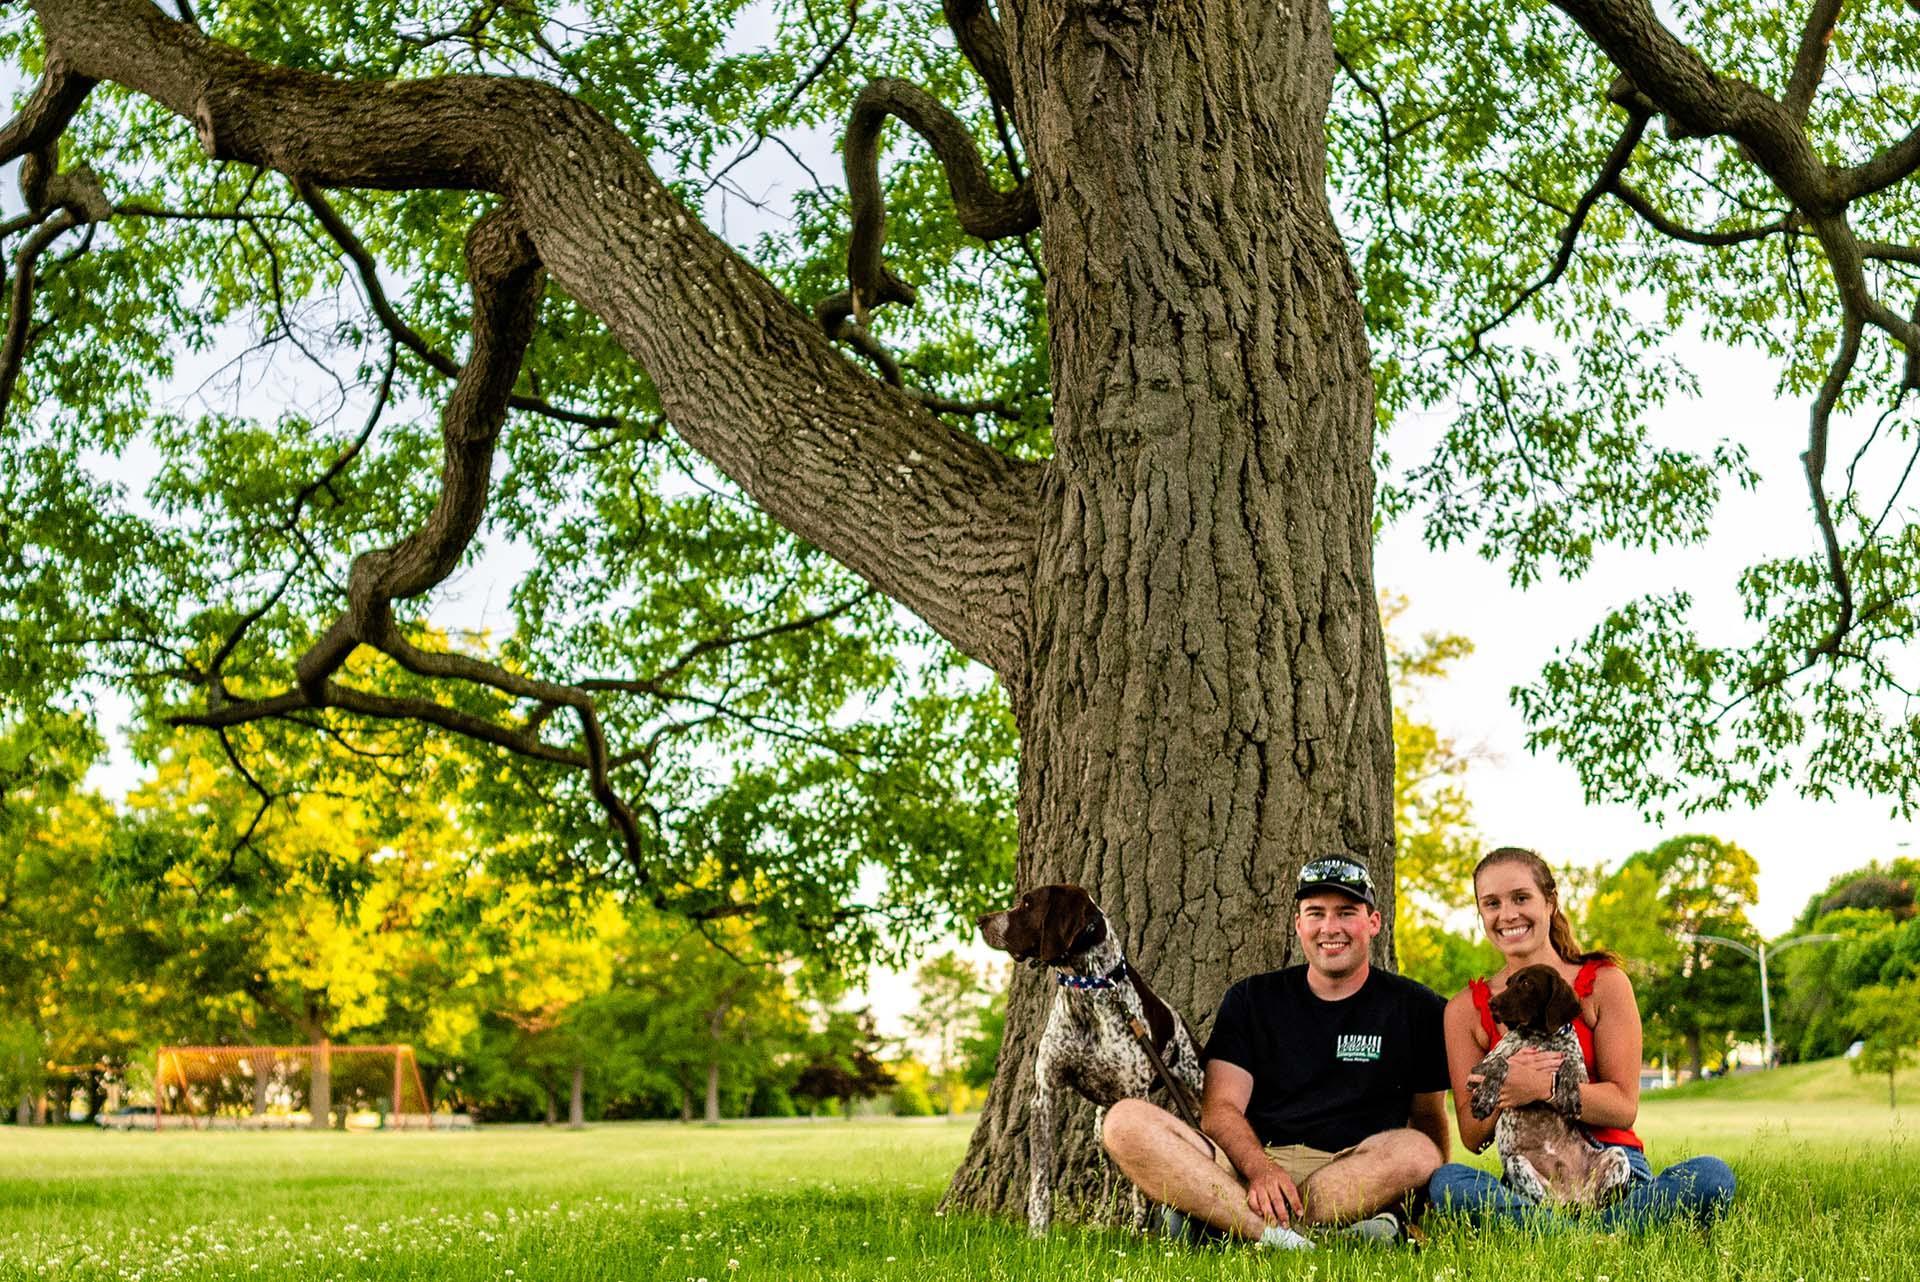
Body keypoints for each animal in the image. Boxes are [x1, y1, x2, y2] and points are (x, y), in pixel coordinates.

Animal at [975, 886, 1198, 1235]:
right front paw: (1038, 1233)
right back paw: (1100, 1223)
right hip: (1101, 1128)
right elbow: (1040, 1179)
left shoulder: (1136, 1096)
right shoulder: (1045, 1095)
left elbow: (1139, 1188)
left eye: (1027, 903)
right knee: (1109, 1180)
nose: (980, 920)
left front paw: (1139, 1231)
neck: (1087, 989)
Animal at [1466, 967, 1635, 1205]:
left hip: (1617, 1155)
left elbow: (1568, 1065)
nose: (1492, 1004)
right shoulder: (1476, 1073)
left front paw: (1570, 1096)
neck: (1542, 1037)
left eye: (1526, 983)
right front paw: (1485, 1099)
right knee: (1545, 1204)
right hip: (1517, 1164)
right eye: (1508, 983)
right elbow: (1502, 1062)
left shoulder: (1582, 1076)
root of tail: (1572, 1195)